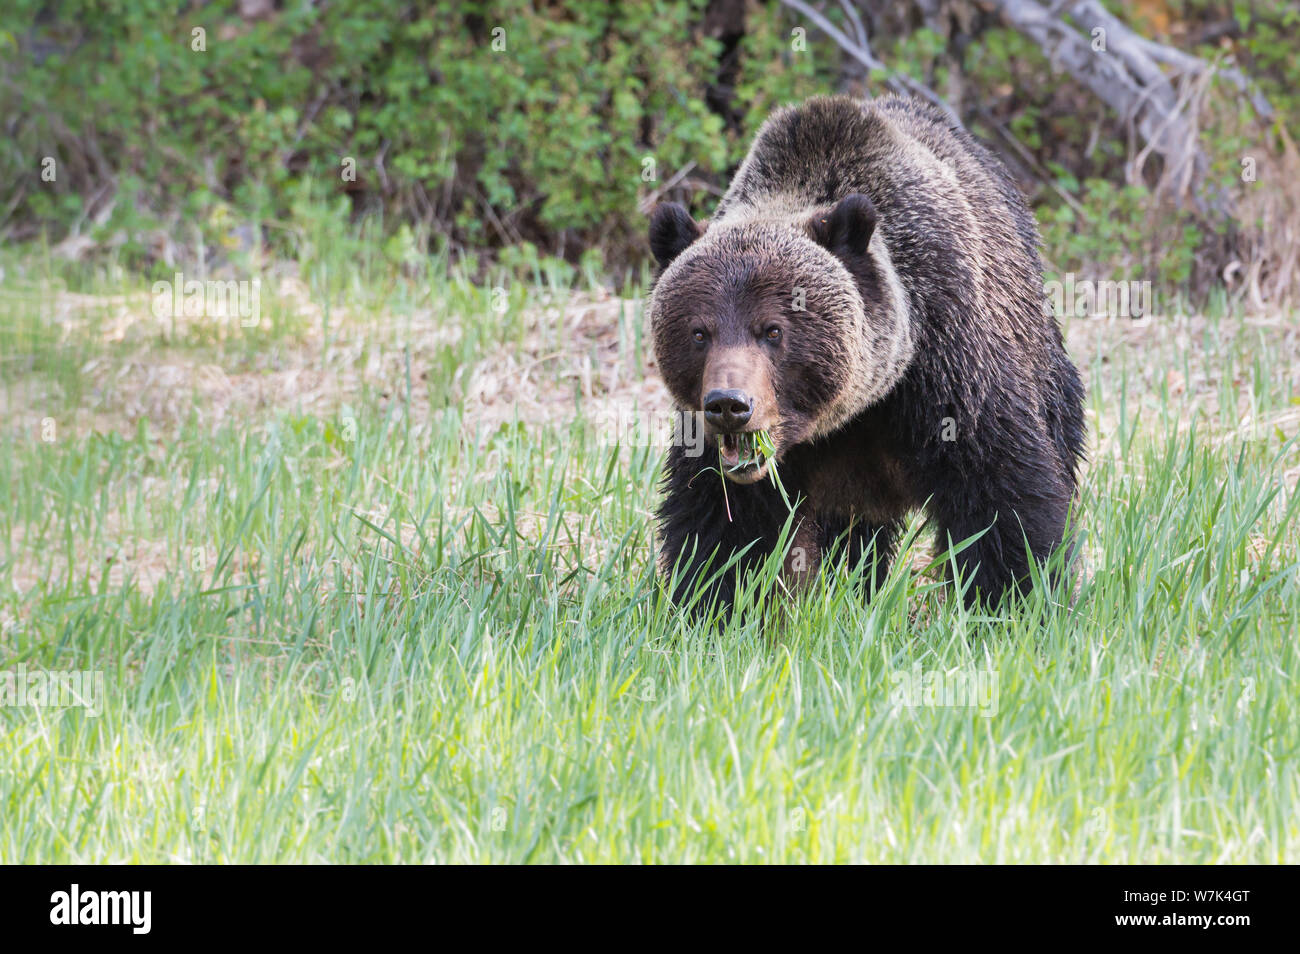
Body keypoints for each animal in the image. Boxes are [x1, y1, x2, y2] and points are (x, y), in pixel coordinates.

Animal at [650, 95, 1086, 613]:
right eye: (699, 332)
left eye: (773, 330)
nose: (729, 405)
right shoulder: (720, 448)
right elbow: (722, 526)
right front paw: (715, 606)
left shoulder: (947, 366)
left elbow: (1001, 494)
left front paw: (1014, 600)